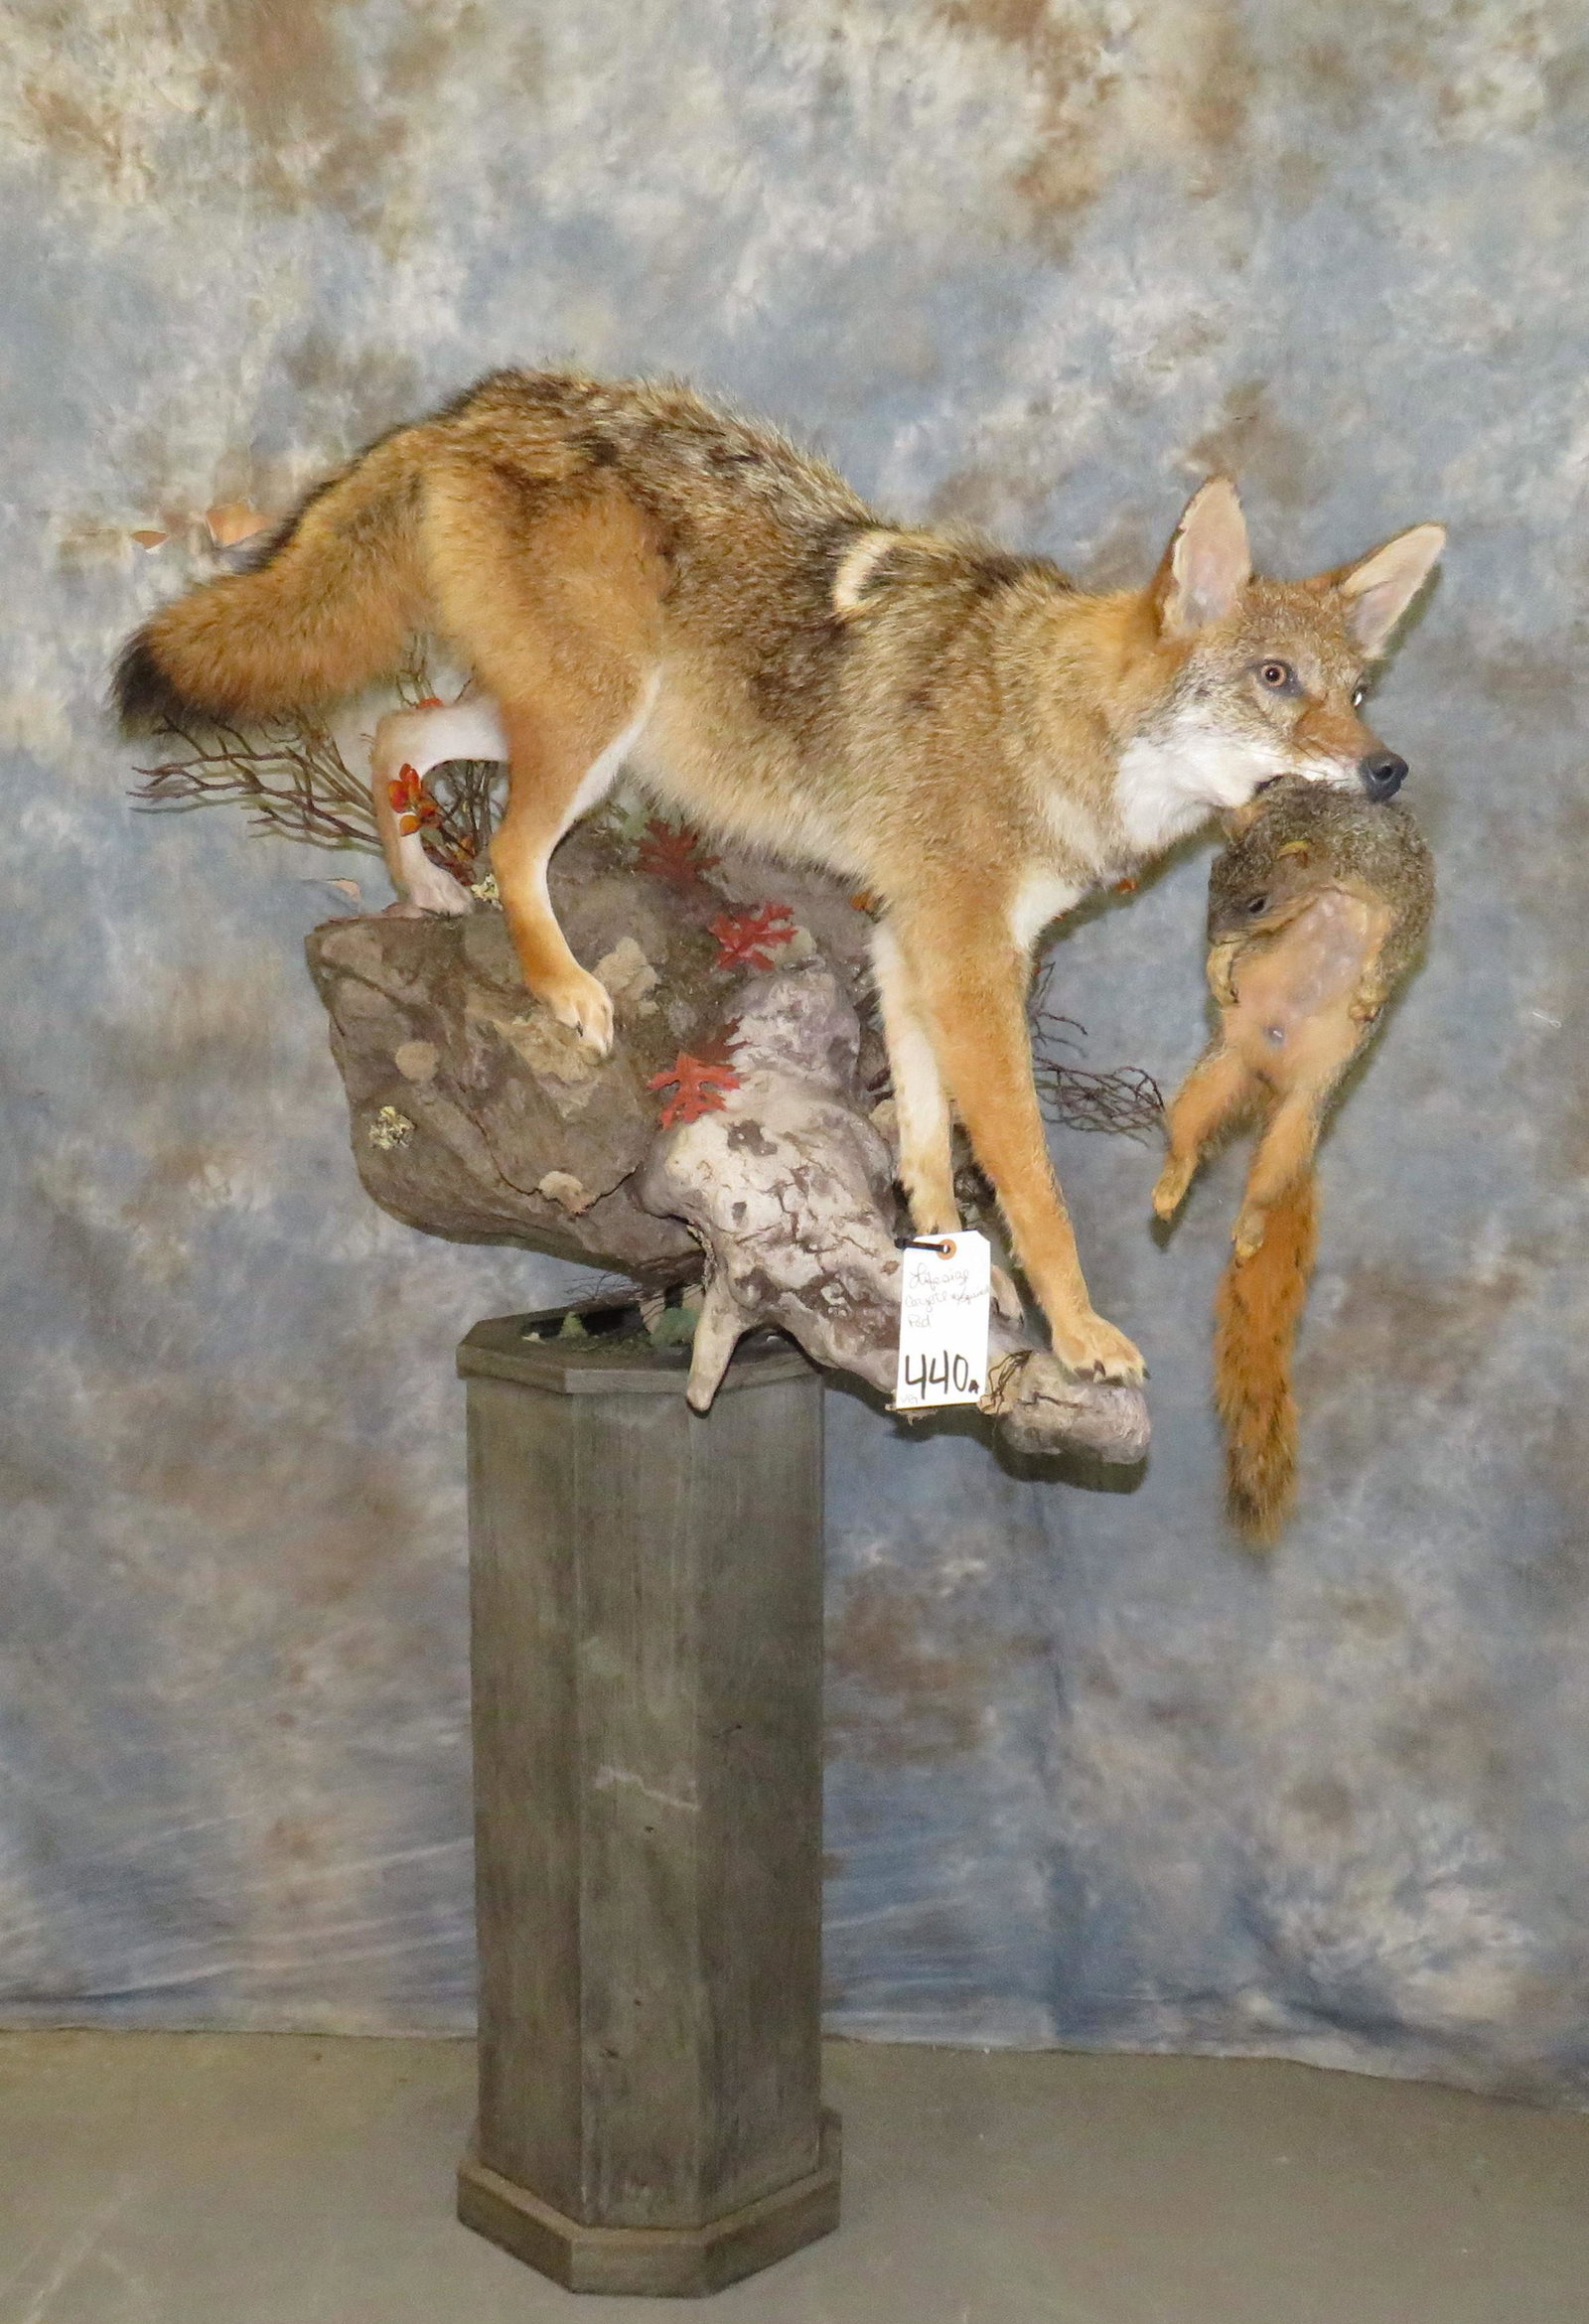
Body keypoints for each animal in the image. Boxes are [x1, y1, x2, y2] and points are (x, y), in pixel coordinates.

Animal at [1152, 778, 1435, 1543]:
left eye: (1257, 902)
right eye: (1211, 878)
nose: (1215, 936)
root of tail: (1269, 1082)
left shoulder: (1403, 880)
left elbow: (1402, 941)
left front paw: (1370, 990)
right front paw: (1219, 969)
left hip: (1299, 1121)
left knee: (1268, 1180)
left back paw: (1251, 1224)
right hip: (1217, 1069)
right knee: (1188, 1131)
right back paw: (1172, 1183)